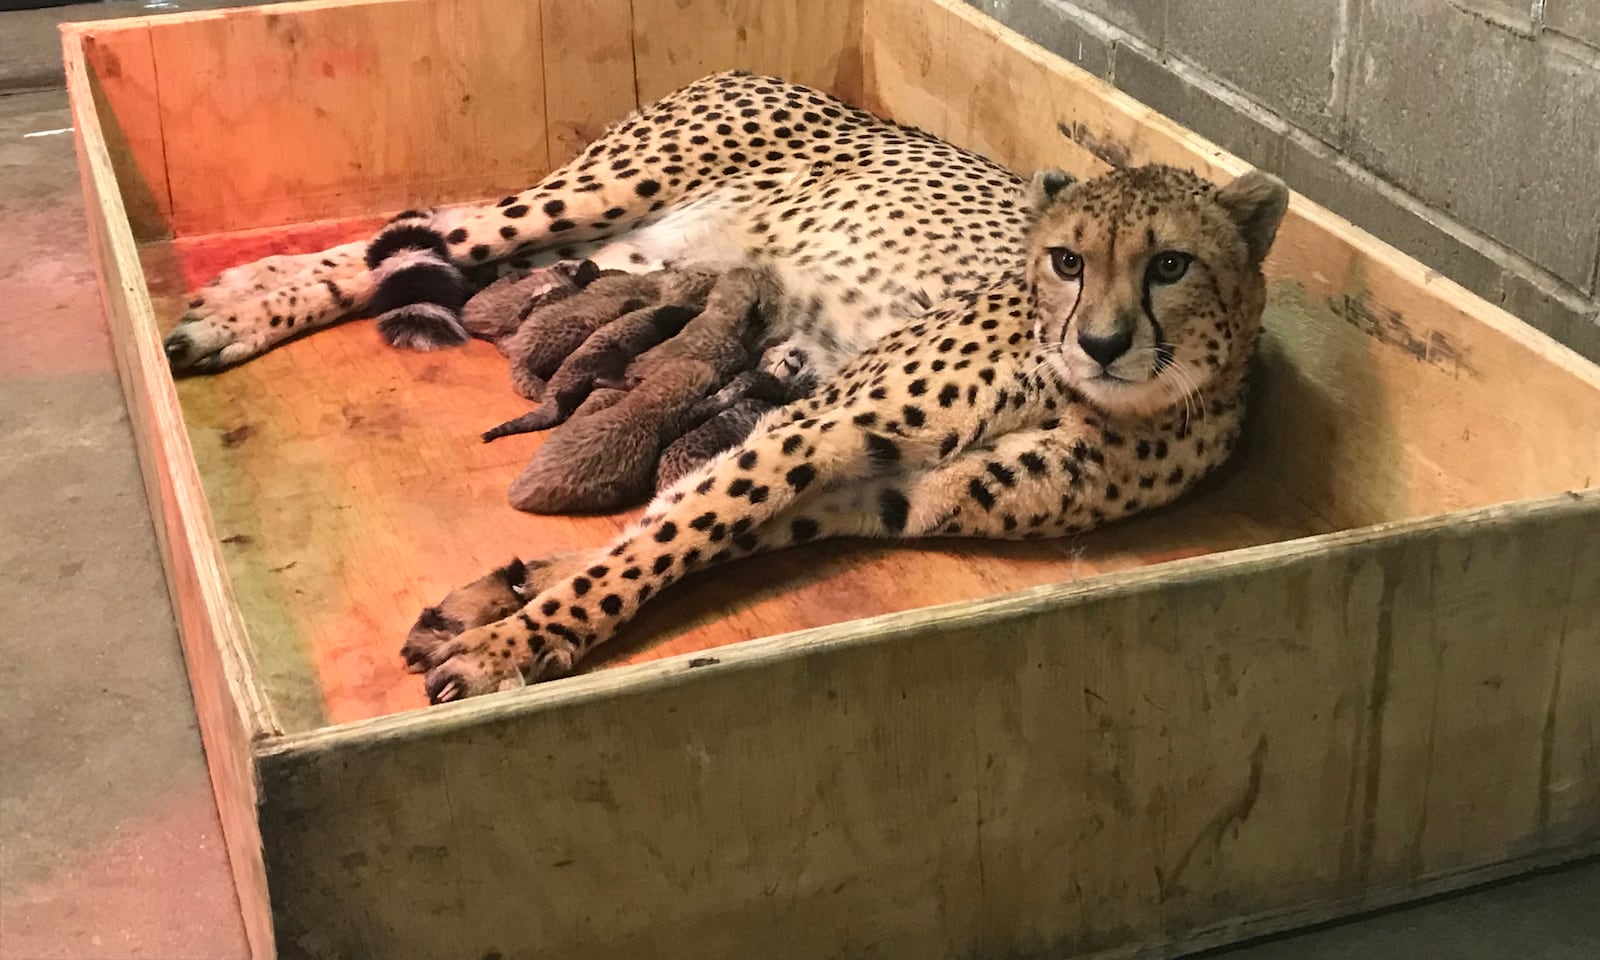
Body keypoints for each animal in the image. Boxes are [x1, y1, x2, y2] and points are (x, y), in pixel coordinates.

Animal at [159, 69, 1286, 697]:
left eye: (1170, 265)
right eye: (1064, 260)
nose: (1101, 340)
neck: (1106, 399)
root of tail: (775, 77)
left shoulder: (883, 493)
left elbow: (677, 529)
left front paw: (496, 607)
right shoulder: (811, 429)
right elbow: (664, 540)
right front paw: (522, 640)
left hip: (624, 255)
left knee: (433, 248)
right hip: (596, 194)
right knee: (417, 235)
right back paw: (233, 309)